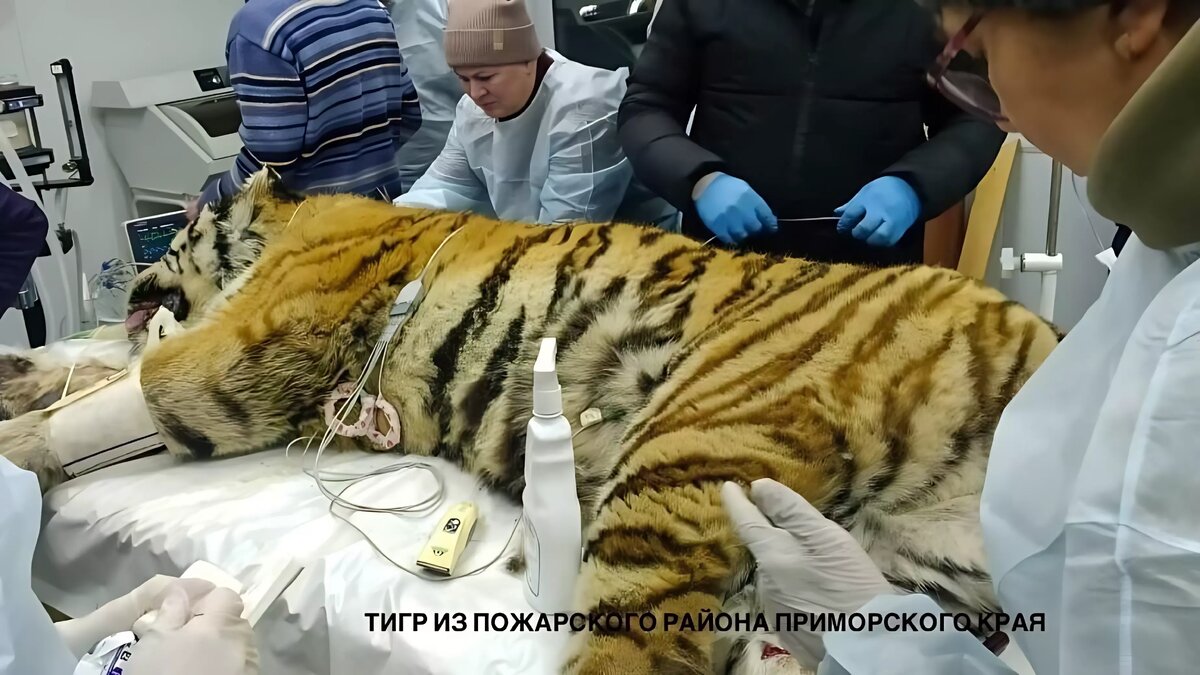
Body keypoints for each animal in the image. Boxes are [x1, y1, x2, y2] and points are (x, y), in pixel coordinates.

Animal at [0, 168, 1061, 675]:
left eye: (177, 227)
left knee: (644, 652)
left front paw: (17, 449)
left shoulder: (245, 350)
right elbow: (100, 375)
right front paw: (26, 374)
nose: (131, 277)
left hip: (691, 450)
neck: (287, 226)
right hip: (910, 573)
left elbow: (126, 387)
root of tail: (1030, 334)